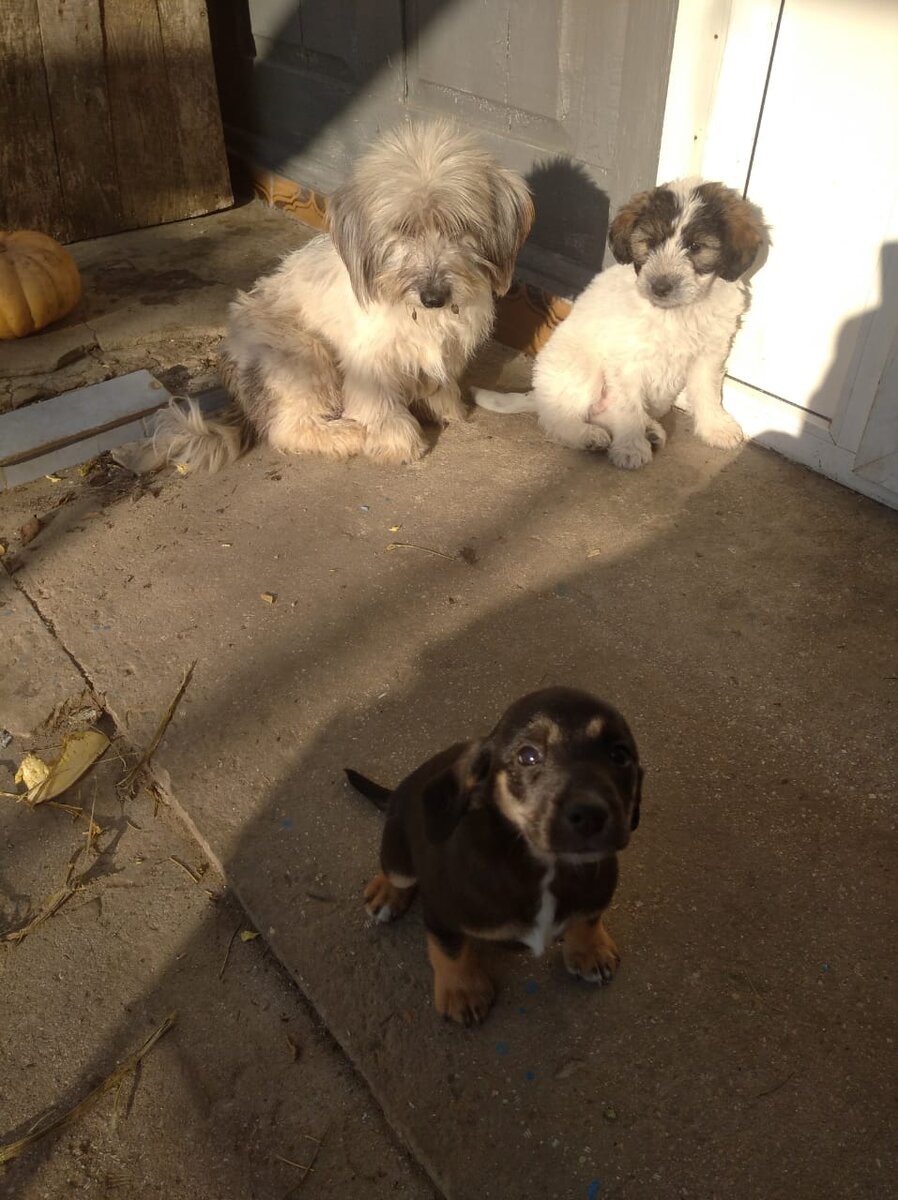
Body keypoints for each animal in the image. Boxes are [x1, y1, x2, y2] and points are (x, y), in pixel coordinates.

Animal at [149, 122, 533, 472]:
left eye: (459, 227)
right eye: (404, 229)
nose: (433, 297)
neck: (419, 314)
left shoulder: (445, 347)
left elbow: (437, 380)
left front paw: (445, 408)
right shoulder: (369, 360)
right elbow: (380, 406)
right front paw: (398, 442)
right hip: (303, 350)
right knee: (286, 428)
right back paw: (344, 434)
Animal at [347, 687, 643, 1025]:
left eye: (620, 755)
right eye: (528, 756)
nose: (591, 816)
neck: (544, 865)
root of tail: (398, 791)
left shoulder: (598, 890)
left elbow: (588, 917)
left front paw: (590, 950)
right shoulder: (441, 911)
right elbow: (449, 949)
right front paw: (462, 991)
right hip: (399, 853)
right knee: (395, 871)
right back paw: (386, 893)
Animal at [475, 179, 765, 469]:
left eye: (695, 246)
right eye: (649, 243)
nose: (660, 287)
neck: (675, 312)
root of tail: (537, 394)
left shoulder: (710, 352)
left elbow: (707, 390)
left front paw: (715, 427)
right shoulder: (627, 361)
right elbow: (628, 407)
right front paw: (631, 447)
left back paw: (649, 429)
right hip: (582, 372)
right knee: (557, 419)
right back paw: (588, 436)